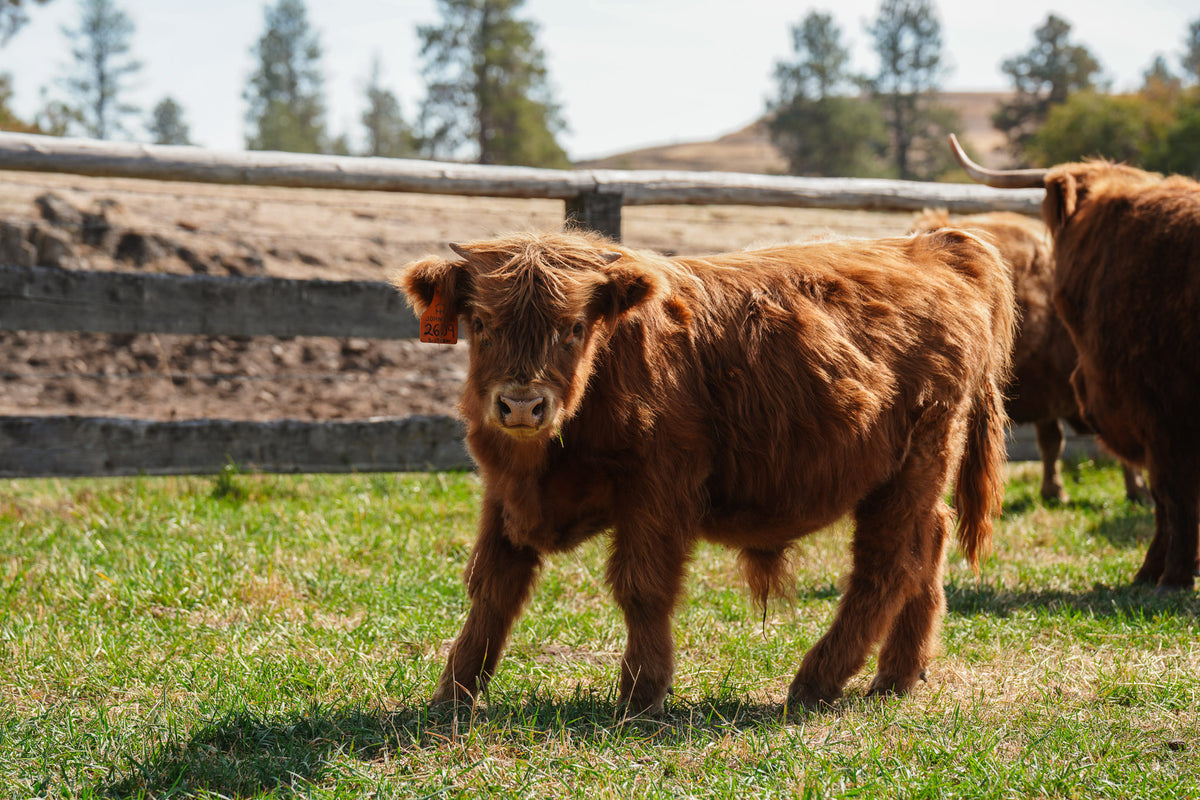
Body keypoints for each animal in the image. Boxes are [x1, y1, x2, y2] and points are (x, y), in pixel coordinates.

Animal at [394, 227, 1015, 714]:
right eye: (480, 322)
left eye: (574, 327)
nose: (522, 405)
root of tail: (937, 244)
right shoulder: (504, 495)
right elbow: (492, 588)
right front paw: (453, 692)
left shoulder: (658, 488)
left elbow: (641, 587)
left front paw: (641, 693)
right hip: (913, 474)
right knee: (927, 544)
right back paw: (898, 675)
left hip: (917, 458)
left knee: (887, 565)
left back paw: (817, 680)